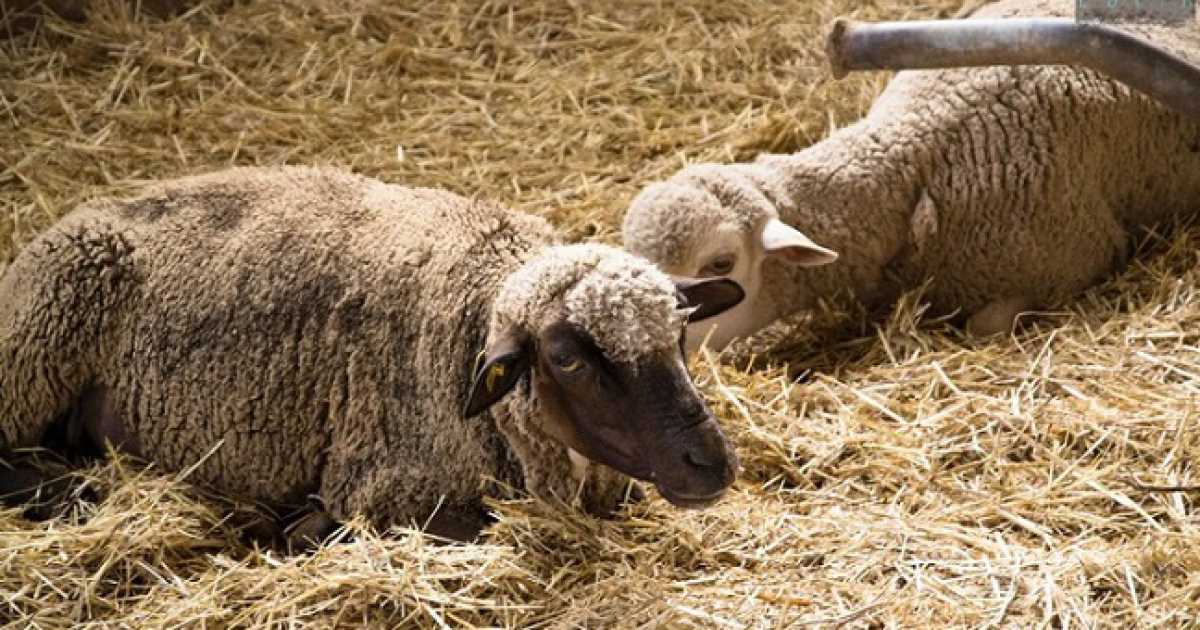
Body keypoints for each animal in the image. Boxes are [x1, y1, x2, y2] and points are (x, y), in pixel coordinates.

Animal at [0, 165, 746, 542]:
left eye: (680, 333)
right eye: (568, 359)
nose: (710, 462)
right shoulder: (384, 481)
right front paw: (298, 525)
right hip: (34, 356)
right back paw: (78, 490)